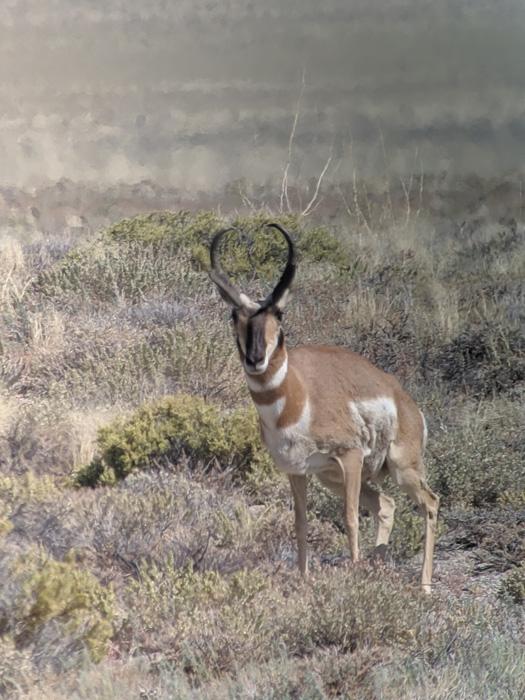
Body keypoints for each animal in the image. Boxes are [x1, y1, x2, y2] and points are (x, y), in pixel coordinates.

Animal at [209, 223, 440, 592]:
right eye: (234, 314)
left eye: (279, 313)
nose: (255, 358)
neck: (298, 399)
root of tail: (406, 401)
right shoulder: (297, 470)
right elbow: (300, 523)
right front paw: (304, 579)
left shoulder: (351, 458)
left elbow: (349, 518)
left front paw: (352, 579)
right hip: (331, 477)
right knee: (386, 504)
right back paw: (377, 564)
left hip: (400, 469)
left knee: (429, 502)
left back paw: (423, 584)